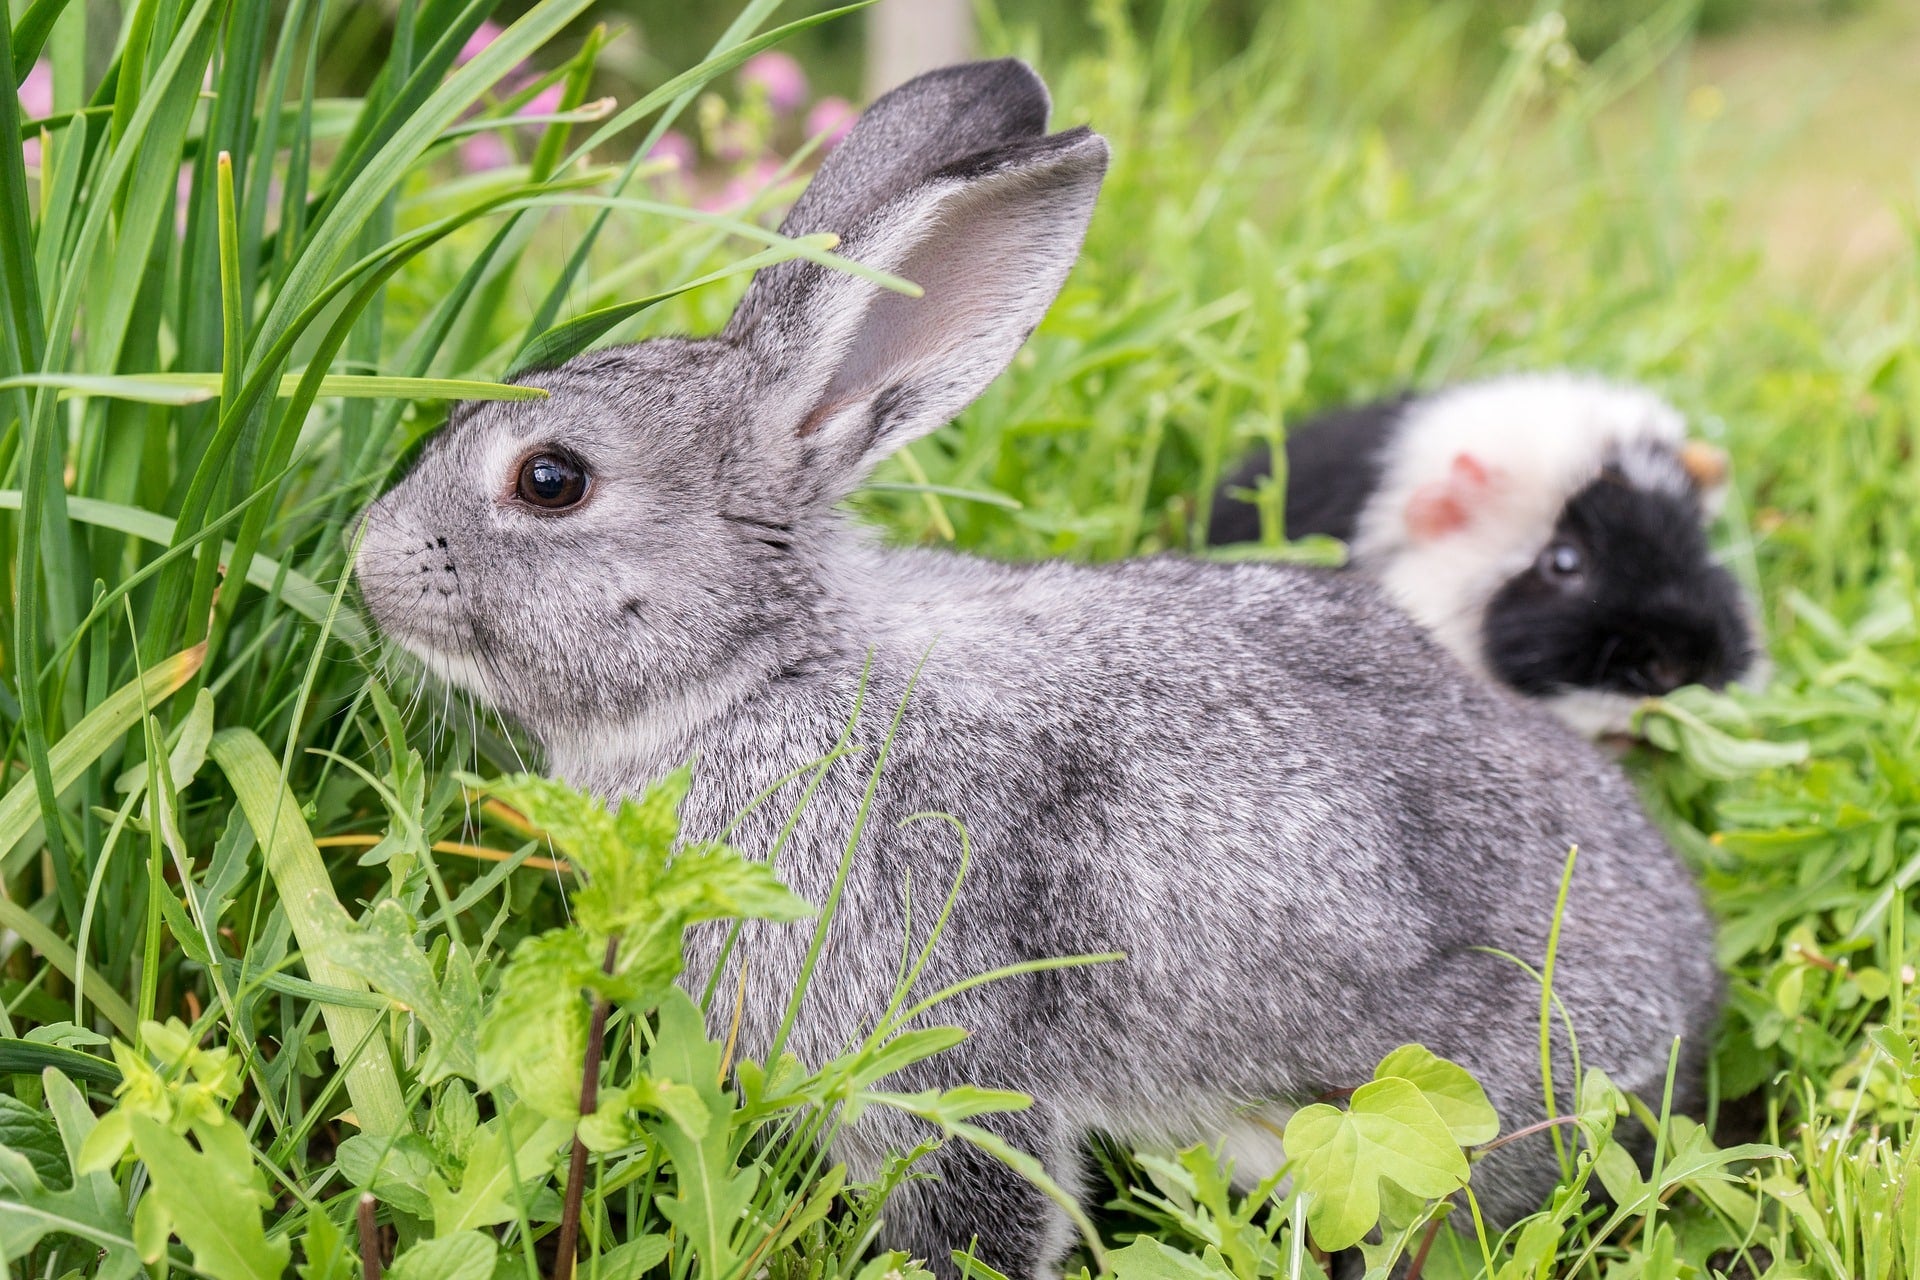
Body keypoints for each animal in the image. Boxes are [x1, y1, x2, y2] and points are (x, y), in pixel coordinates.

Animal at [360, 59, 1728, 1280]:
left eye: (552, 479)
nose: (369, 562)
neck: (767, 666)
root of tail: (1691, 988)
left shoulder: (928, 1039)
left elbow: (971, 1196)